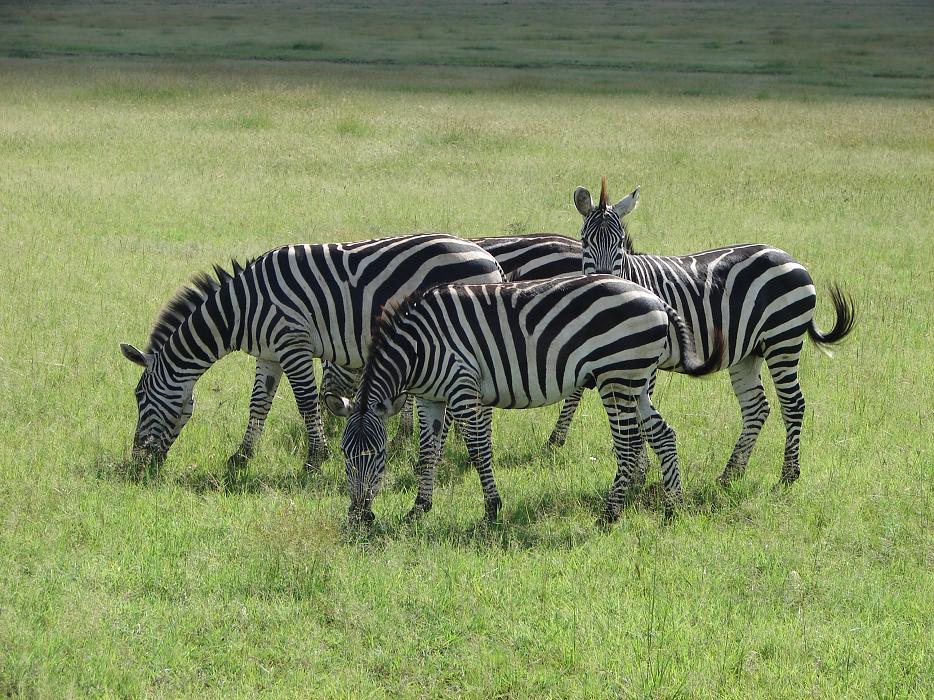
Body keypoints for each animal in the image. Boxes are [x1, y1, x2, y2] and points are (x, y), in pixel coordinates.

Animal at [118, 234, 504, 473]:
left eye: (139, 396)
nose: (138, 460)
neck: (240, 310)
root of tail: (490, 260)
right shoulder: (269, 355)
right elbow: (258, 404)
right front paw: (241, 457)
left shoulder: (293, 343)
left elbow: (305, 402)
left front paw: (315, 459)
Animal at [325, 275, 724, 525]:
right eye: (344, 454)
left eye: (377, 454)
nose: (359, 516)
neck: (418, 348)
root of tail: (656, 299)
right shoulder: (430, 399)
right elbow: (427, 454)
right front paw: (419, 508)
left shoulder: (462, 388)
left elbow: (478, 451)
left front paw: (491, 509)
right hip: (635, 379)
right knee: (663, 434)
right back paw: (672, 508)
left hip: (617, 377)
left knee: (628, 445)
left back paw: (609, 515)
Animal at [568, 177, 856, 485]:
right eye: (585, 241)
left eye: (620, 243)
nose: (605, 278)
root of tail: (790, 257)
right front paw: (638, 473)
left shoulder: (642, 361)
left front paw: (637, 474)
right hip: (748, 349)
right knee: (757, 407)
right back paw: (731, 474)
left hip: (783, 338)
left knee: (793, 403)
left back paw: (788, 475)